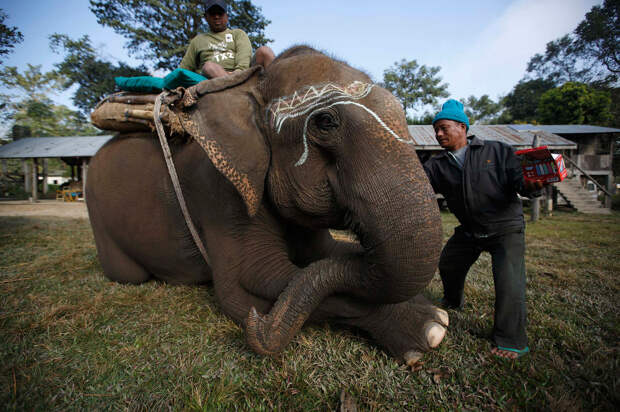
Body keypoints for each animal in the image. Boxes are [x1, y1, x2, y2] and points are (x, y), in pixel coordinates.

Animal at [85, 46, 448, 366]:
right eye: (325, 122)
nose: (259, 325)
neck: (251, 88)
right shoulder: (221, 189)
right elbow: (250, 283)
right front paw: (430, 326)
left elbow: (328, 255)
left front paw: (432, 312)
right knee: (128, 274)